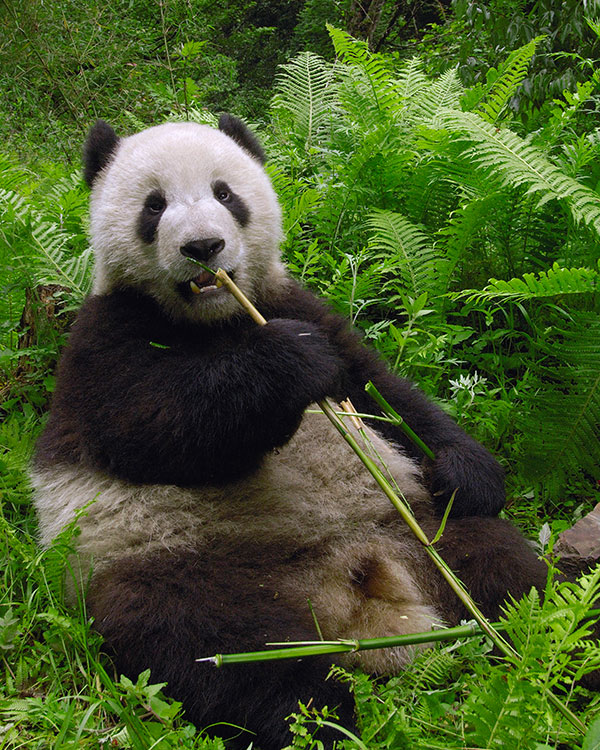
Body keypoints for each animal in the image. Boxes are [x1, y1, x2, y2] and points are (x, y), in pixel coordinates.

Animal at [31, 114, 548, 748]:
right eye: (154, 206)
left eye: (225, 193)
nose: (203, 248)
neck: (217, 318)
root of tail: (356, 588)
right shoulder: (101, 342)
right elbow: (151, 427)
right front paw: (290, 363)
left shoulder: (292, 301)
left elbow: (384, 395)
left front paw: (467, 471)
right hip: (169, 564)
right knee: (217, 648)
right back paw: (325, 719)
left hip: (423, 532)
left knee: (506, 574)